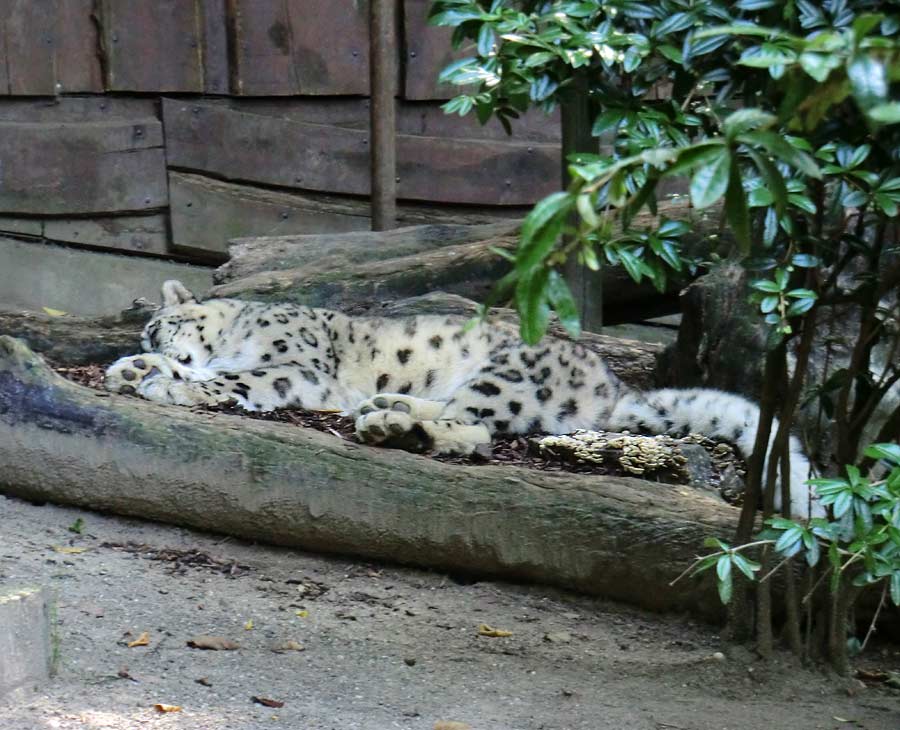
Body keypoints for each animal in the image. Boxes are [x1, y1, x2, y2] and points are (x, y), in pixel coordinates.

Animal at [105, 276, 824, 516]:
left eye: (159, 322)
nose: (150, 339)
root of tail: (614, 386)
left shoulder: (297, 367)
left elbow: (236, 379)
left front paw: (162, 378)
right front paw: (128, 369)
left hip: (503, 375)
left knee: (473, 430)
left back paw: (390, 426)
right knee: (459, 419)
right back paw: (385, 412)